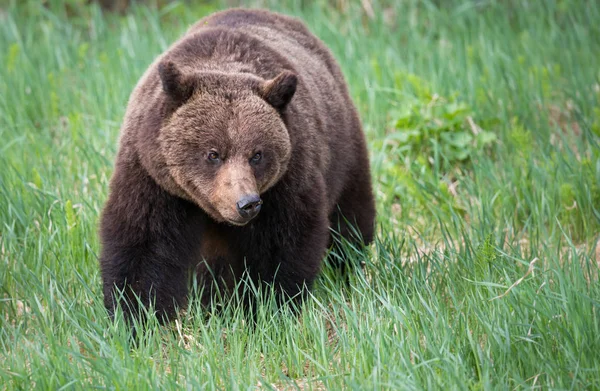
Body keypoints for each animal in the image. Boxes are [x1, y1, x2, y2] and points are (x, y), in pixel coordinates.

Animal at [101, 7, 378, 324]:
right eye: (213, 153)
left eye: (257, 154)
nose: (247, 203)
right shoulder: (153, 177)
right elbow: (144, 244)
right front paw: (135, 315)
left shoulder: (288, 177)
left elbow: (282, 246)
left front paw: (266, 307)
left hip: (343, 148)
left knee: (350, 216)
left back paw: (350, 265)